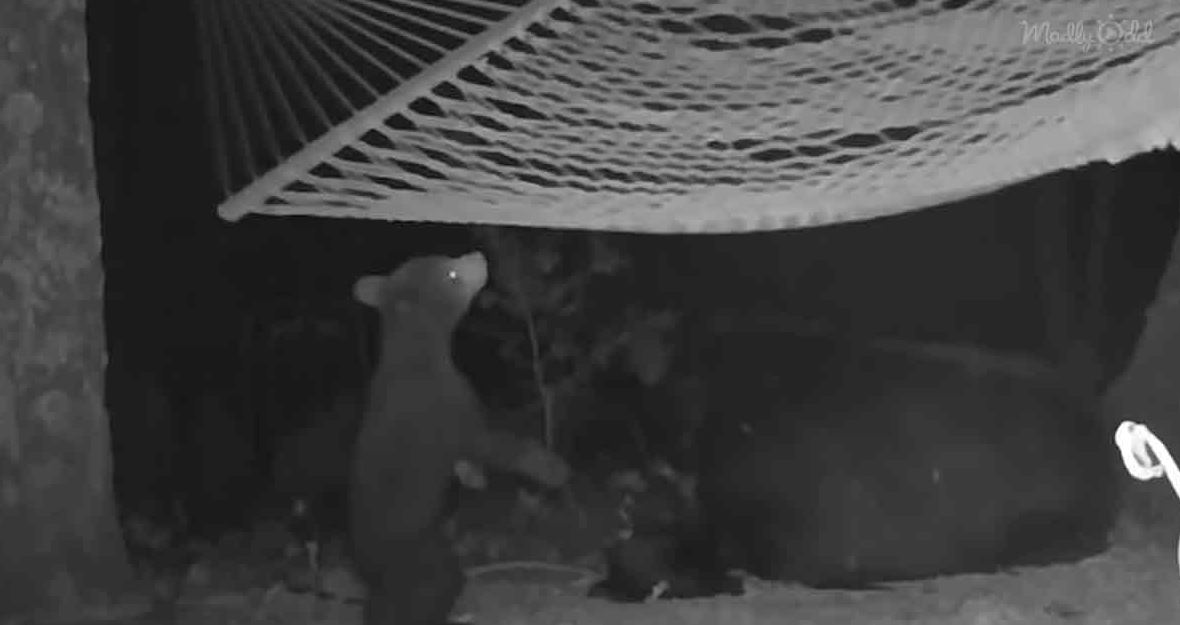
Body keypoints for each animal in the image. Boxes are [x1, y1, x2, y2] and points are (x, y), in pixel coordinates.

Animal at [346, 251, 568, 622]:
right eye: (451, 274)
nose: (479, 256)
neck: (416, 355)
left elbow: (467, 460)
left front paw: (473, 477)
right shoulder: (454, 412)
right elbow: (498, 446)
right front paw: (551, 468)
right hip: (424, 557)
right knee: (435, 587)